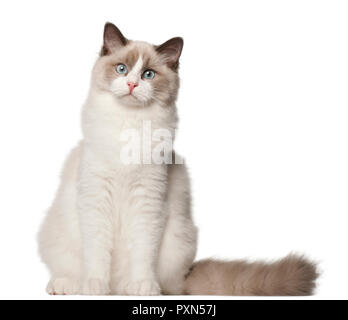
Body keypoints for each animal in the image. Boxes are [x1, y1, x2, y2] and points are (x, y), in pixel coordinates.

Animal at [38, 22, 318, 296]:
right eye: (122, 69)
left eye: (148, 74)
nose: (131, 85)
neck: (129, 124)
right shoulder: (96, 199)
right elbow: (97, 253)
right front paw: (94, 287)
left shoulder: (148, 201)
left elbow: (142, 253)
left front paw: (142, 287)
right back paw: (70, 285)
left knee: (167, 285)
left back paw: (133, 288)